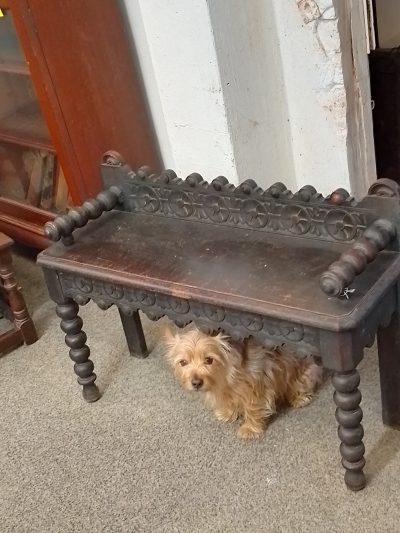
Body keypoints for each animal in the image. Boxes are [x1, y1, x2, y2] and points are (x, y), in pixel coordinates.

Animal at [164, 328, 324, 436]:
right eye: (183, 362)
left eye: (209, 360)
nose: (196, 382)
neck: (226, 376)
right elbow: (230, 402)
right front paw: (228, 413)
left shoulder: (258, 385)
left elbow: (253, 407)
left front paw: (250, 429)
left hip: (302, 372)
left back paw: (299, 397)